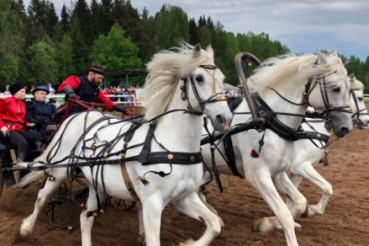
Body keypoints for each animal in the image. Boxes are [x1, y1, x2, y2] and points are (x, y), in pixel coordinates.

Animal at [16, 44, 233, 246]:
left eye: (222, 78)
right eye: (199, 78)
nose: (225, 118)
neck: (173, 145)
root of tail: (77, 116)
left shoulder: (184, 197)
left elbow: (215, 224)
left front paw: (188, 242)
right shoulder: (152, 203)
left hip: (95, 183)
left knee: (85, 217)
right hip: (59, 171)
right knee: (42, 196)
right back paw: (25, 229)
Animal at [198, 51, 354, 245]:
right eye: (335, 88)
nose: (347, 127)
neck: (269, 121)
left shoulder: (278, 173)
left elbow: (300, 202)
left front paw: (267, 223)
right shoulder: (259, 176)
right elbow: (284, 214)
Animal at [288, 73, 368, 217]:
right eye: (359, 98)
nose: (367, 121)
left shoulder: (296, 171)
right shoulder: (300, 165)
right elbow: (327, 188)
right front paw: (313, 210)